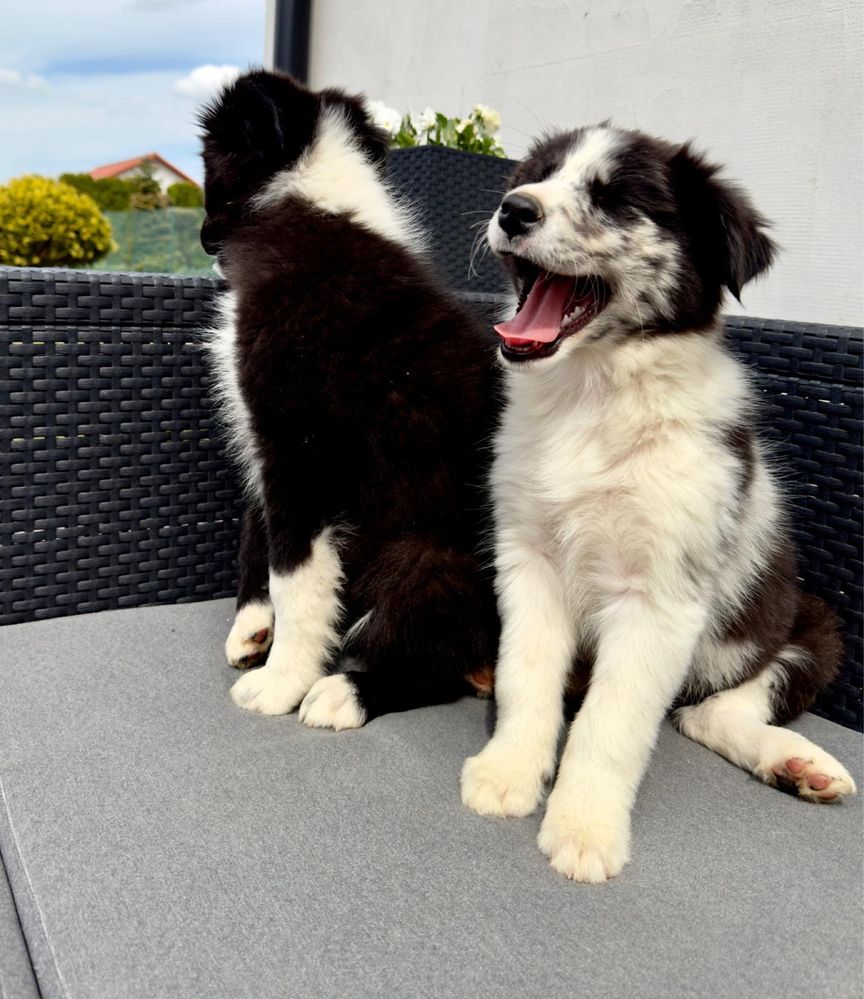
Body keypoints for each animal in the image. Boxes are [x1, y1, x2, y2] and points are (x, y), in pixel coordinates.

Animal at [200, 70, 500, 728]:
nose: (204, 238)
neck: (309, 202)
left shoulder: (301, 452)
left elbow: (296, 575)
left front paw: (280, 681)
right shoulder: (267, 445)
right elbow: (255, 529)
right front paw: (253, 625)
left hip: (424, 556)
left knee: (438, 662)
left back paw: (346, 693)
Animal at [462, 123, 852, 884]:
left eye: (617, 198)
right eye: (536, 176)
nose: (513, 210)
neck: (595, 394)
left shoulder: (661, 596)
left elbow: (611, 721)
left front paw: (584, 828)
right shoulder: (528, 558)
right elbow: (528, 675)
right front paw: (508, 772)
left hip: (809, 626)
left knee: (713, 711)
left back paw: (797, 762)